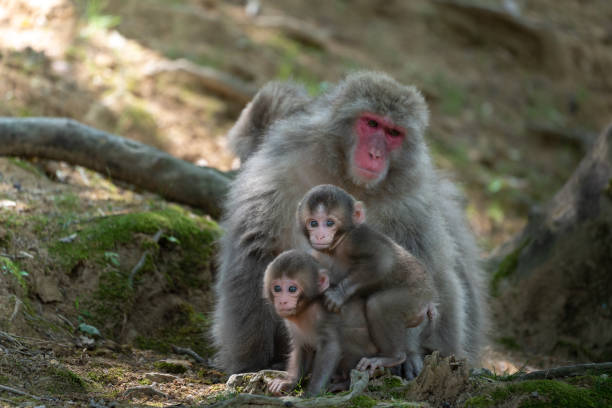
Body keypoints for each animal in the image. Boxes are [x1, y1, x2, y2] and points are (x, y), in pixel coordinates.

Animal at [264, 249, 380, 396]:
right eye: (277, 288)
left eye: (292, 289)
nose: (283, 301)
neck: (306, 308)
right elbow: (303, 346)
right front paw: (290, 382)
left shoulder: (323, 313)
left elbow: (330, 347)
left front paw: (312, 393)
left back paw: (345, 383)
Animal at [296, 184, 436, 372]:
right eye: (313, 223)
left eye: (329, 223)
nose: (319, 235)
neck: (336, 247)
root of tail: (429, 299)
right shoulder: (317, 255)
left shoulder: (357, 238)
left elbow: (383, 259)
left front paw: (338, 294)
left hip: (416, 295)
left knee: (379, 305)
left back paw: (392, 357)